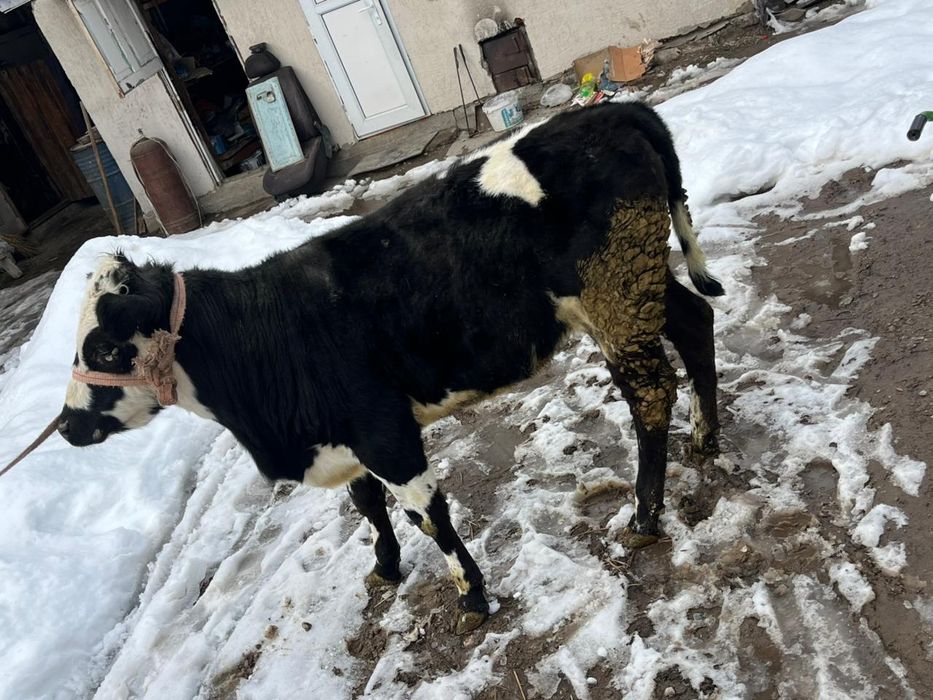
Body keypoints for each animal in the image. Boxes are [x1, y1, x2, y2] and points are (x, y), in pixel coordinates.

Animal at [58, 102, 723, 635]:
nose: (66, 426)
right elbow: (367, 504)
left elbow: (428, 515)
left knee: (649, 391)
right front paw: (385, 565)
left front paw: (472, 597)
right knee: (695, 322)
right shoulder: (344, 434)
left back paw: (644, 513)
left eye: (106, 351)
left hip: (617, 295)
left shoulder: (384, 431)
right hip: (636, 283)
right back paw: (705, 437)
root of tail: (619, 111)